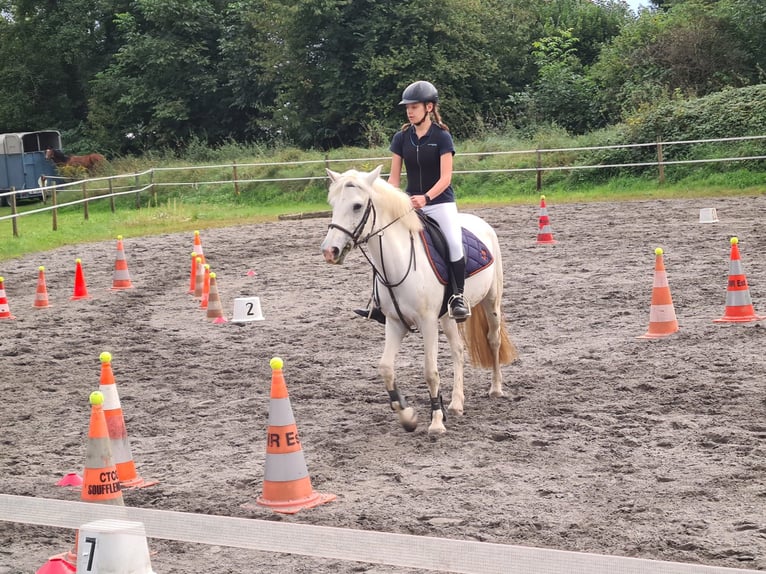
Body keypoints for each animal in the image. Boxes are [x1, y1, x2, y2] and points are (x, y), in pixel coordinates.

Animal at [320, 166, 520, 436]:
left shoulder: (427, 322)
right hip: (448, 316)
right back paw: (456, 403)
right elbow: (386, 368)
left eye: (357, 206)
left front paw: (436, 421)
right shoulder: (395, 323)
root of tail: (481, 223)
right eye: (332, 204)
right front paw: (407, 416)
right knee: (458, 350)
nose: (329, 251)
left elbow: (430, 371)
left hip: (491, 301)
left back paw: (496, 389)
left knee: (493, 339)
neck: (398, 261)